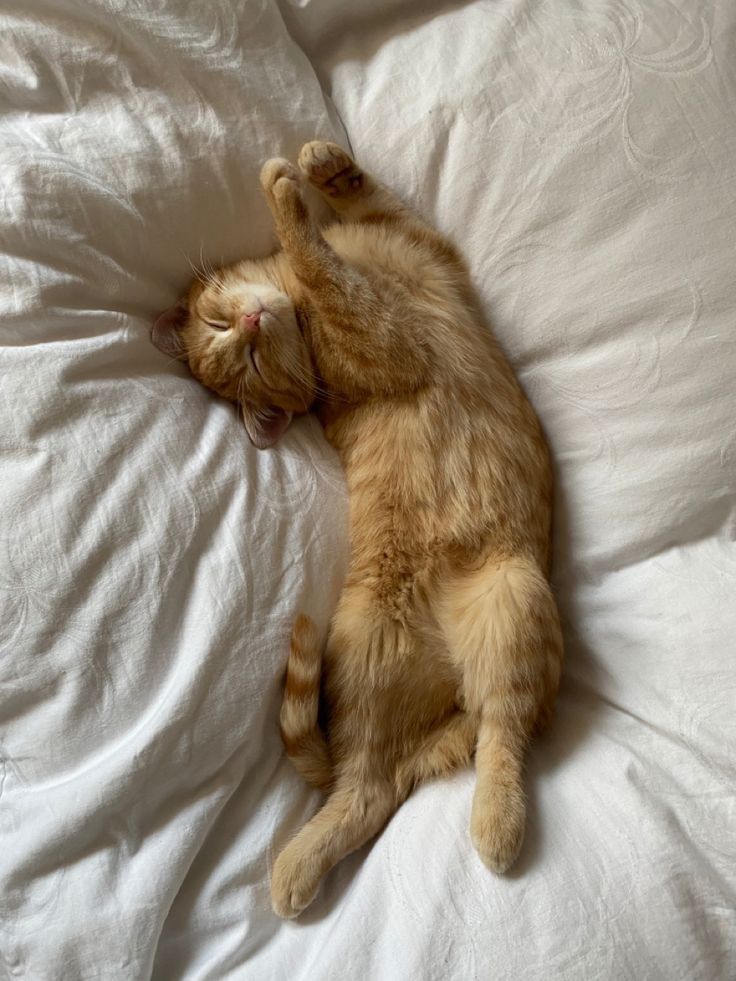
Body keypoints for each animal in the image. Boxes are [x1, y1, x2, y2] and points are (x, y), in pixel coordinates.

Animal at [151, 142, 564, 916]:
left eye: (233, 342)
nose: (251, 325)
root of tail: (445, 699)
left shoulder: (417, 242)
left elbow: (368, 201)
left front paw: (324, 164)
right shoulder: (382, 336)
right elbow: (321, 263)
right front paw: (286, 197)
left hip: (479, 620)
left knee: (388, 781)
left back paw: (300, 866)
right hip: (500, 605)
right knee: (479, 746)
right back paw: (484, 828)